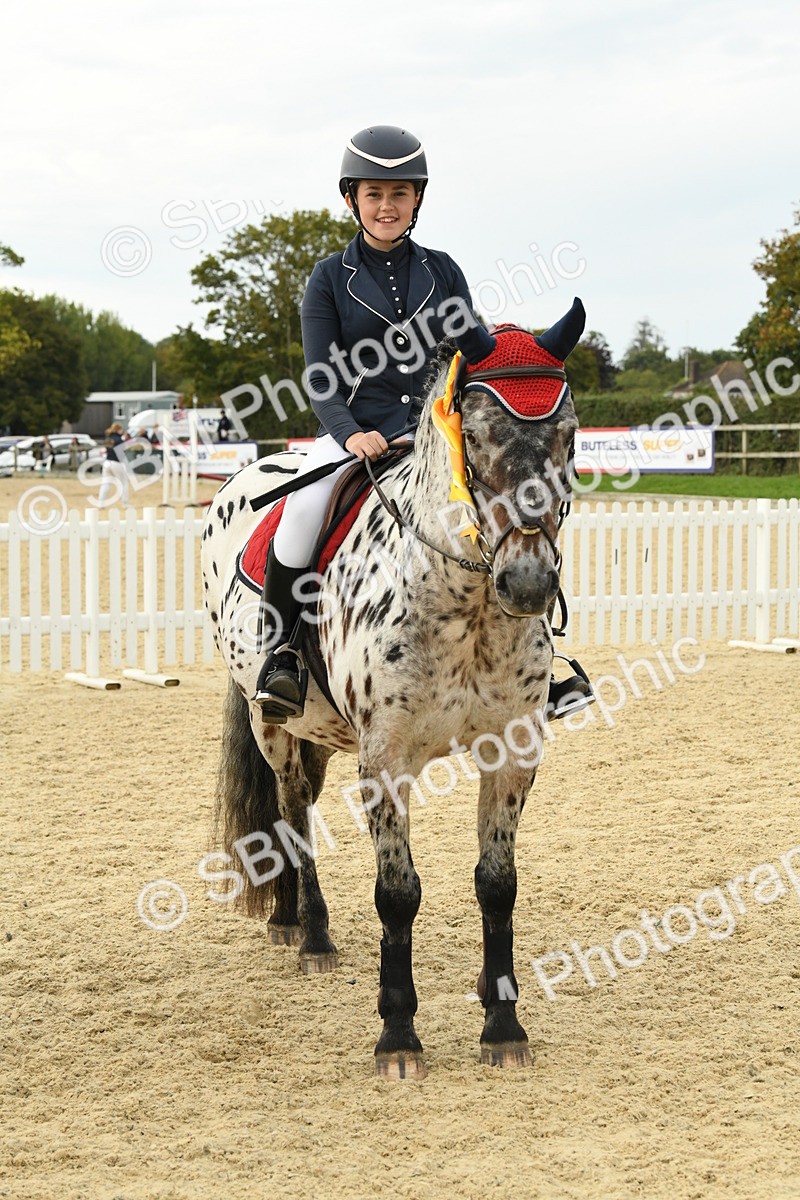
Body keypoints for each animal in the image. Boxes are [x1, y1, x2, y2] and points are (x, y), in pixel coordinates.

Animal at [201, 299, 585, 1078]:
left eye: (568, 434)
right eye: (476, 436)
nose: (529, 583)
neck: (468, 604)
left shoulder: (513, 753)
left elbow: (497, 882)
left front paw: (502, 1022)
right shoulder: (386, 761)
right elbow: (398, 893)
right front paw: (399, 1034)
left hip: (321, 734)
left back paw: (288, 918)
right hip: (273, 725)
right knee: (291, 811)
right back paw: (310, 934)